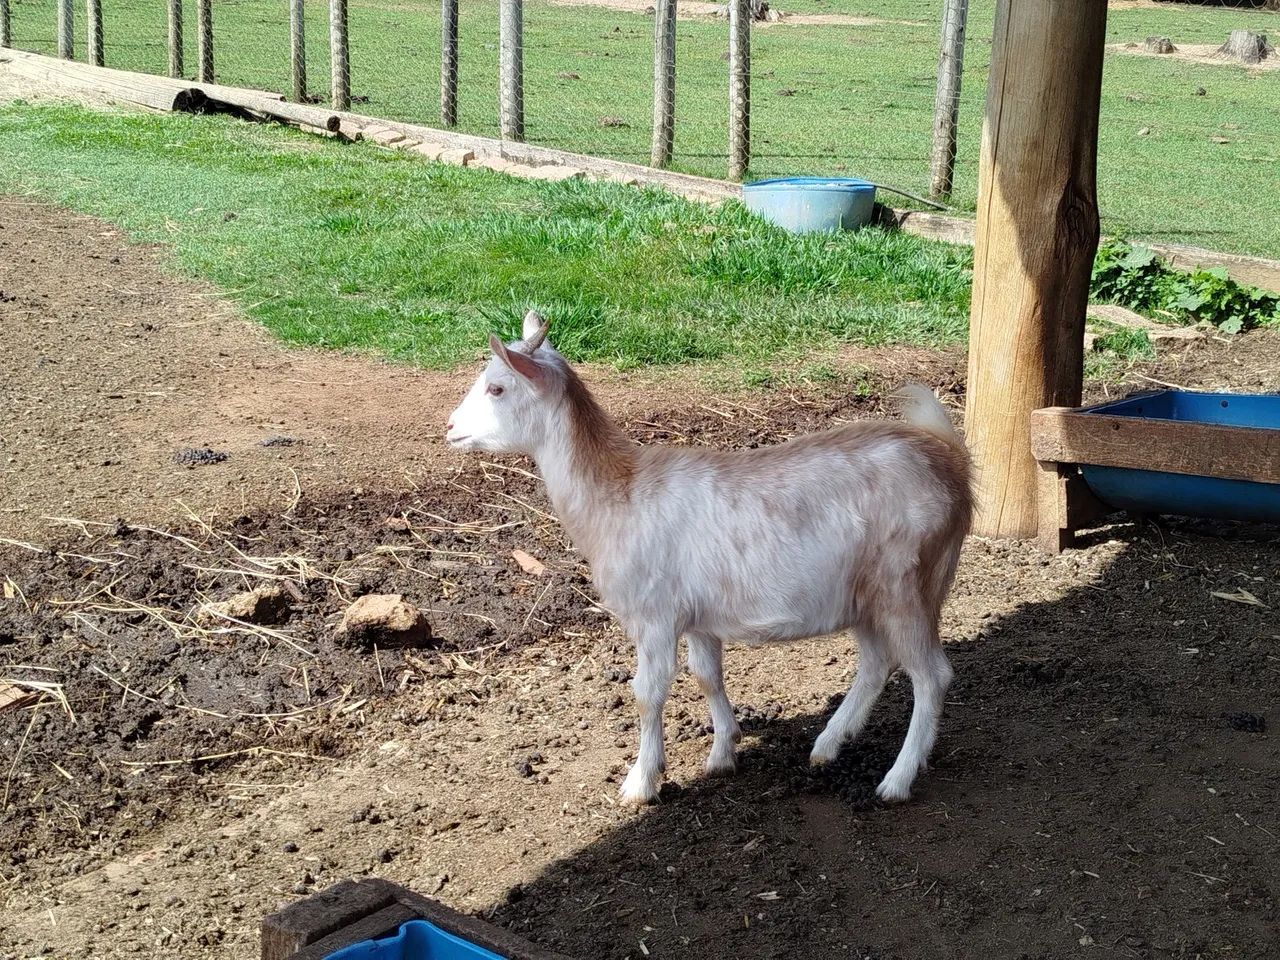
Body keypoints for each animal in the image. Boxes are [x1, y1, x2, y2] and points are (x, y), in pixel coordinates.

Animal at [446, 312, 973, 805]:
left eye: (497, 387)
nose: (449, 427)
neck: (619, 494)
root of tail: (951, 462)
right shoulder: (697, 617)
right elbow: (706, 676)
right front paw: (722, 752)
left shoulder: (654, 616)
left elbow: (648, 692)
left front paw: (642, 781)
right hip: (866, 593)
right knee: (877, 662)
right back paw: (827, 744)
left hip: (906, 583)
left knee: (931, 675)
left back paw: (897, 779)